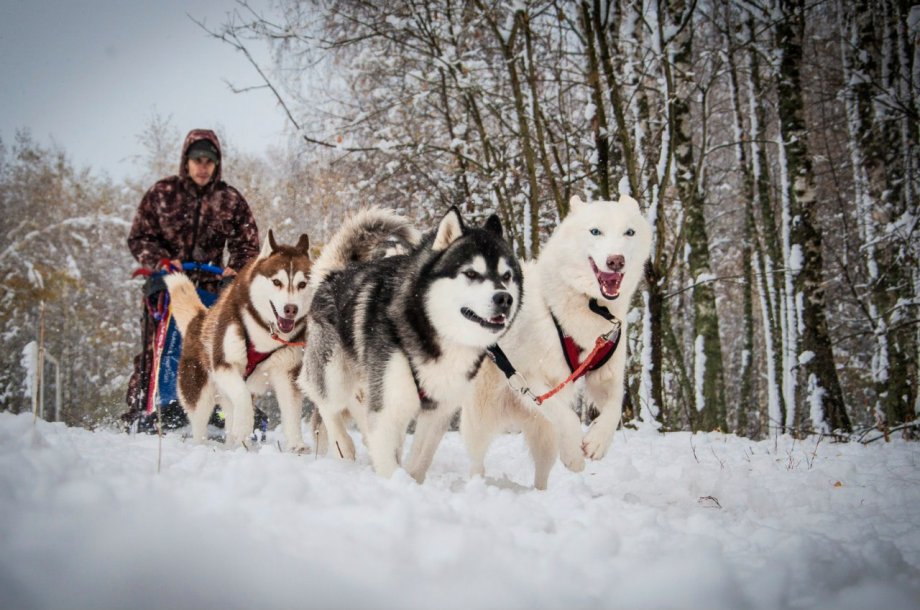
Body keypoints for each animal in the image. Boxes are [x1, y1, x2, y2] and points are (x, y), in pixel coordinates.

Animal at [169, 233, 316, 452]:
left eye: (302, 284)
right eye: (276, 282)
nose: (291, 309)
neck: (265, 331)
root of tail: (199, 318)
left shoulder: (286, 372)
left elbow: (291, 412)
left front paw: (296, 445)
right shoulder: (225, 365)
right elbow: (243, 397)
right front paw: (244, 426)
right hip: (200, 391)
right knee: (200, 423)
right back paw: (205, 445)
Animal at [298, 207, 520, 482]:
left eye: (506, 276)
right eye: (470, 273)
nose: (504, 299)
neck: (431, 330)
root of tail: (337, 273)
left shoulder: (438, 410)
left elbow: (419, 461)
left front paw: (410, 480)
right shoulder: (387, 408)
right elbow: (388, 462)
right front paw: (395, 482)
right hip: (334, 375)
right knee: (326, 403)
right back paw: (344, 445)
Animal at [464, 195, 652, 490]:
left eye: (629, 232)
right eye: (595, 231)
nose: (616, 261)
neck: (590, 306)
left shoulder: (605, 376)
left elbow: (614, 407)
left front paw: (597, 442)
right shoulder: (529, 379)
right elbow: (569, 417)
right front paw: (575, 454)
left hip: (544, 435)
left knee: (542, 472)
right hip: (480, 418)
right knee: (476, 460)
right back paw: (476, 485)